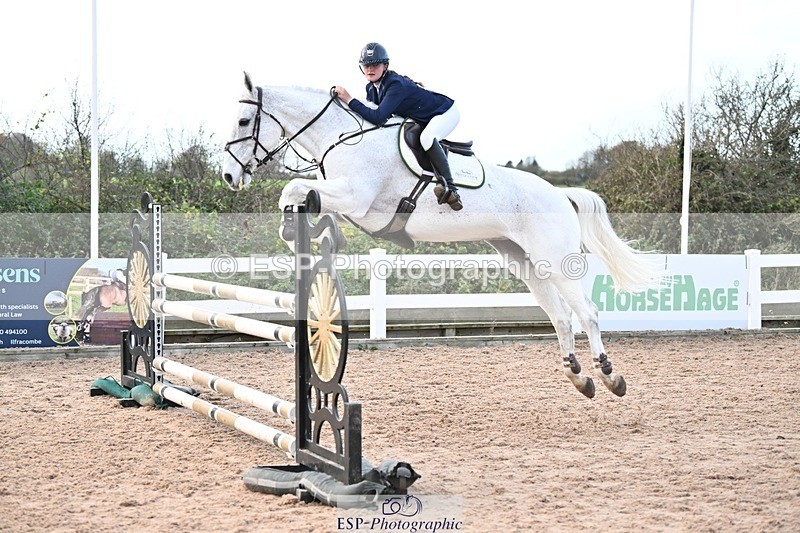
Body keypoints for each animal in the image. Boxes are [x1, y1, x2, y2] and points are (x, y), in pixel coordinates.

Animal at [222, 73, 664, 399]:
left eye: (243, 122)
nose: (228, 176)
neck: (343, 138)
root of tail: (560, 193)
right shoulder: (345, 199)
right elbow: (299, 194)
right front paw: (290, 228)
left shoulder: (357, 198)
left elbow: (296, 188)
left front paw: (290, 223)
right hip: (524, 260)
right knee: (560, 316)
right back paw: (578, 377)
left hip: (554, 258)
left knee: (586, 313)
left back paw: (608, 376)